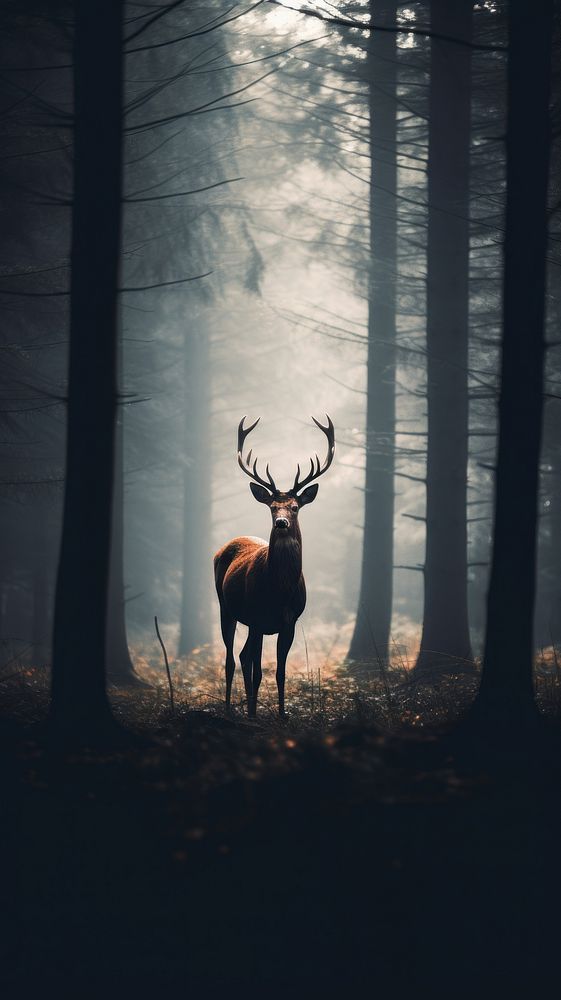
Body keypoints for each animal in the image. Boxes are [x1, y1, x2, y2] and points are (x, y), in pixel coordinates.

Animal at [213, 414, 334, 720]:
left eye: (295, 506)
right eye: (271, 507)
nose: (281, 522)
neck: (279, 590)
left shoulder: (289, 622)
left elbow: (280, 673)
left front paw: (281, 715)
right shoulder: (257, 618)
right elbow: (257, 672)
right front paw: (254, 715)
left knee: (242, 656)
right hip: (226, 607)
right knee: (231, 659)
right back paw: (231, 709)